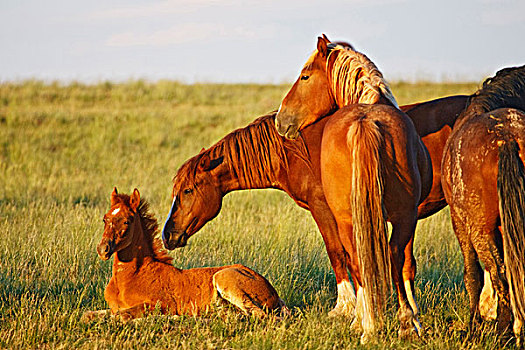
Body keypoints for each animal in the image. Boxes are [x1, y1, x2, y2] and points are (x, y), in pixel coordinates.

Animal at [83, 187, 286, 322]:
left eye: (127, 221)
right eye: (105, 219)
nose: (103, 249)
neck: (127, 278)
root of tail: (274, 293)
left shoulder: (162, 303)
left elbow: (123, 316)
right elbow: (89, 315)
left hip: (224, 279)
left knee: (261, 316)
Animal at [272, 34, 432, 340]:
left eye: (305, 76)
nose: (281, 120)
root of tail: (365, 121)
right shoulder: (411, 216)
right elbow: (407, 265)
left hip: (354, 219)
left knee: (363, 260)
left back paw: (370, 323)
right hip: (396, 217)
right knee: (387, 258)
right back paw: (395, 322)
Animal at [442, 64, 524, 340]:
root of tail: (506, 136)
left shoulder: (460, 223)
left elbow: (473, 274)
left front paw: (473, 325)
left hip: (480, 230)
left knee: (500, 275)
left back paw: (504, 332)